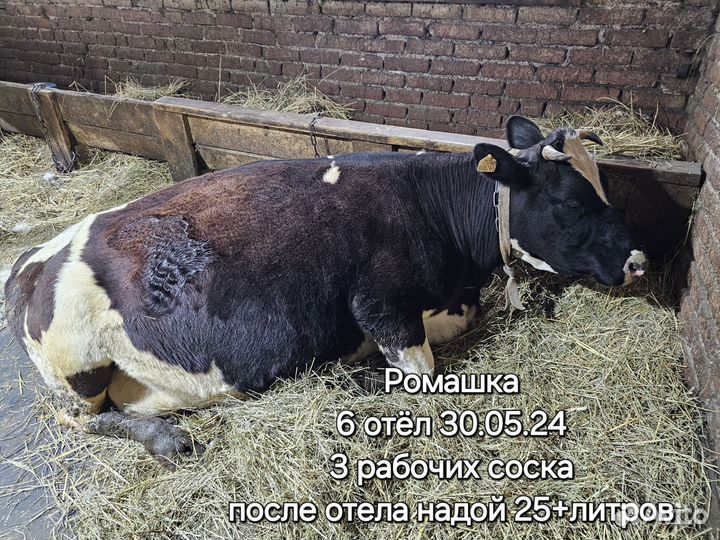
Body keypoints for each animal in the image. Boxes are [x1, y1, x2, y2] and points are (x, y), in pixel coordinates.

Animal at [3, 116, 647, 465]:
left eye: (602, 183)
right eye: (572, 201)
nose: (638, 259)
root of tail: (28, 263)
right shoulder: (381, 307)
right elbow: (424, 379)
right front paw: (362, 379)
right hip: (76, 366)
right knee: (75, 417)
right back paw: (166, 439)